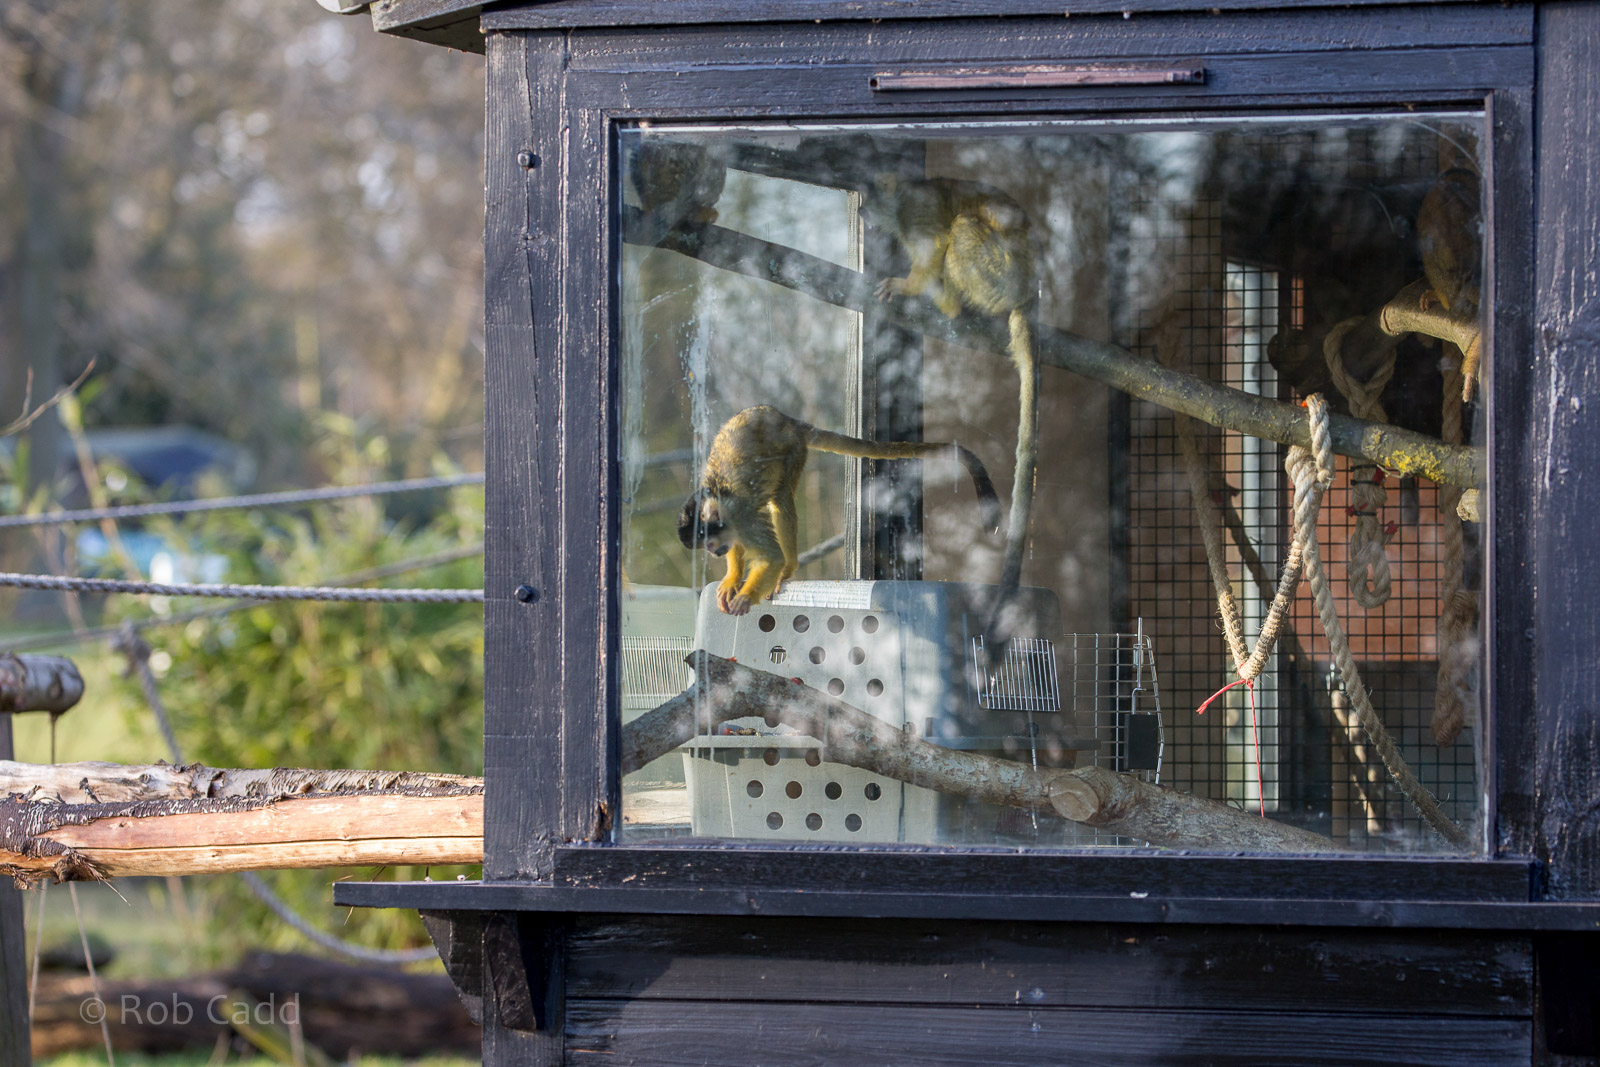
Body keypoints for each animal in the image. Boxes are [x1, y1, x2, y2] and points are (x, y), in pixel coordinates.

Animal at [679, 405, 1002, 616]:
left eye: (709, 544)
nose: (713, 554)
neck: (723, 503)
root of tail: (787, 420)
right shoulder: (733, 525)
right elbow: (738, 547)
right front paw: (732, 579)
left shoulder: (742, 517)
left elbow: (770, 557)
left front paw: (745, 597)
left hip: (792, 449)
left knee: (780, 500)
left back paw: (789, 567)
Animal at [865, 175, 1039, 600]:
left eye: (871, 191)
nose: (861, 209)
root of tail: (1031, 289)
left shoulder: (912, 211)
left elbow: (938, 240)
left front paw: (909, 287)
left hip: (1000, 272)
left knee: (960, 229)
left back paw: (948, 302)